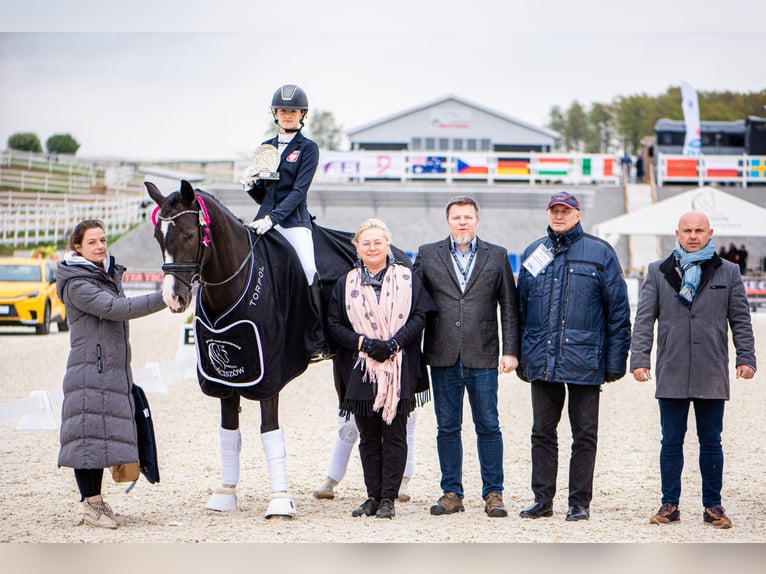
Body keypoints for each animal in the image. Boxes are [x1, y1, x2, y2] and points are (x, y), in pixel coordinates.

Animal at [146, 181, 408, 520]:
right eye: (158, 236)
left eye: (190, 234)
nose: (172, 297)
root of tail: (397, 252)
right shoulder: (226, 379)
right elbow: (229, 433)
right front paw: (226, 493)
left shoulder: (269, 374)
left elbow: (270, 433)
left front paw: (280, 501)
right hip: (344, 358)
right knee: (349, 422)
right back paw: (328, 484)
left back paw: (402, 486)